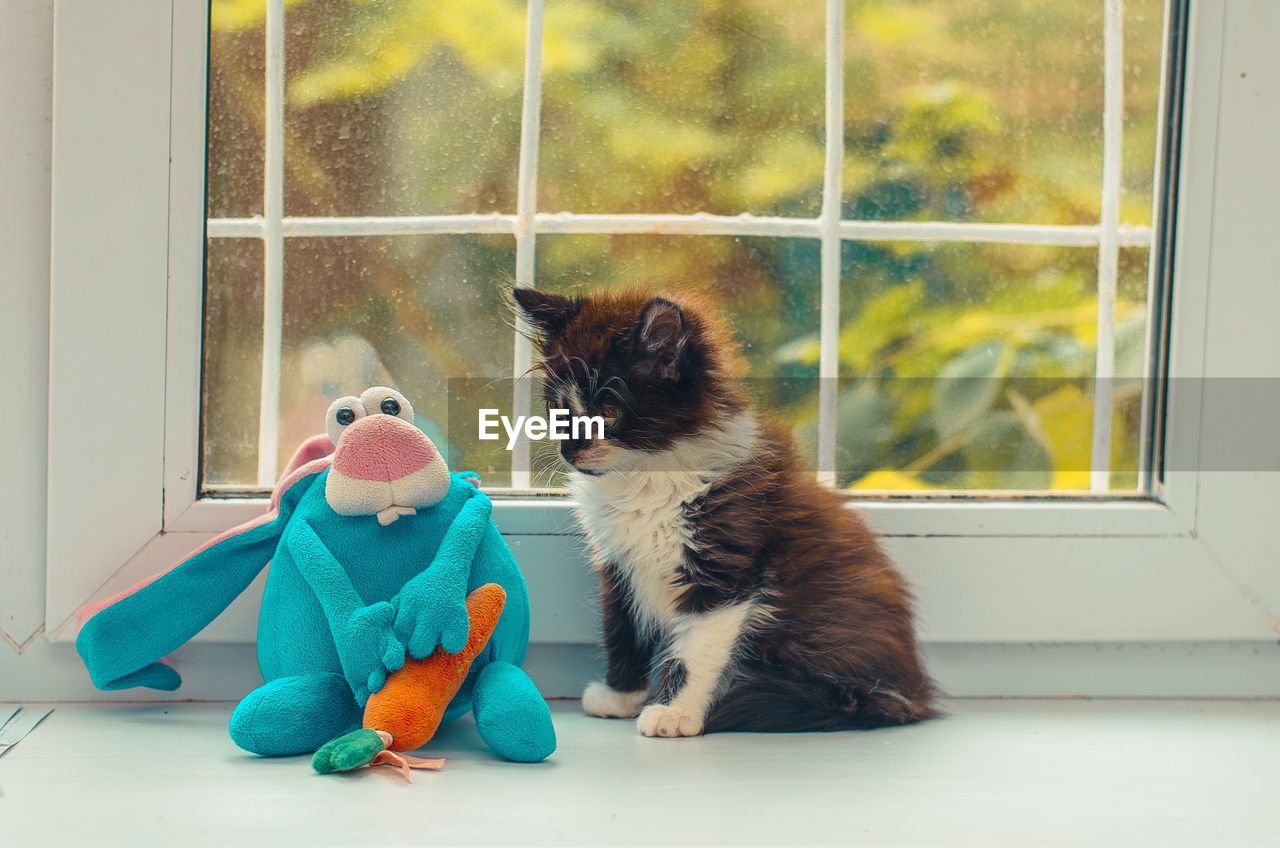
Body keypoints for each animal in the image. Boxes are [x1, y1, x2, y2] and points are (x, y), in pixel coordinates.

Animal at [512, 286, 942, 737]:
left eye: (609, 414)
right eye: (557, 410)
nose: (569, 451)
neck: (643, 477)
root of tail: (915, 692)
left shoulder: (723, 564)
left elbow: (694, 648)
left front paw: (672, 712)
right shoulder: (618, 564)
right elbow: (621, 629)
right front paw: (620, 695)